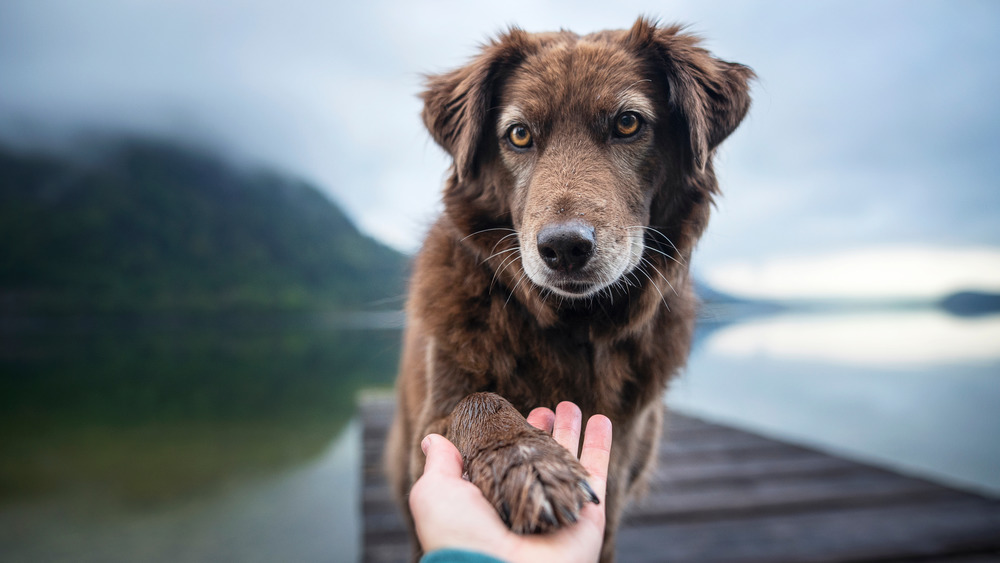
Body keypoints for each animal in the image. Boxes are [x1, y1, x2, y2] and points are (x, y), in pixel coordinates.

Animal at [386, 16, 752, 560]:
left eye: (628, 123)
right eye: (519, 135)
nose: (563, 248)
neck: (574, 327)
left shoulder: (619, 480)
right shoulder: (430, 430)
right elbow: (479, 402)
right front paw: (527, 461)